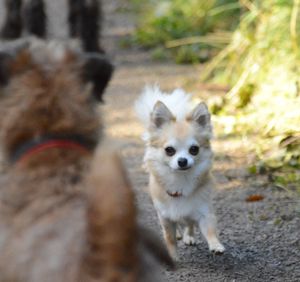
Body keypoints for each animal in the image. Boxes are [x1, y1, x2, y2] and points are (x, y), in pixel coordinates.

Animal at [135, 85, 224, 260]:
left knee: (189, 223)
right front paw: (173, 256)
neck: (181, 180)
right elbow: (169, 237)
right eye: (169, 150)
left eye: (194, 149)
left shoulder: (203, 210)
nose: (182, 161)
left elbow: (210, 229)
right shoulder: (165, 216)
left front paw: (215, 245)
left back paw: (189, 236)